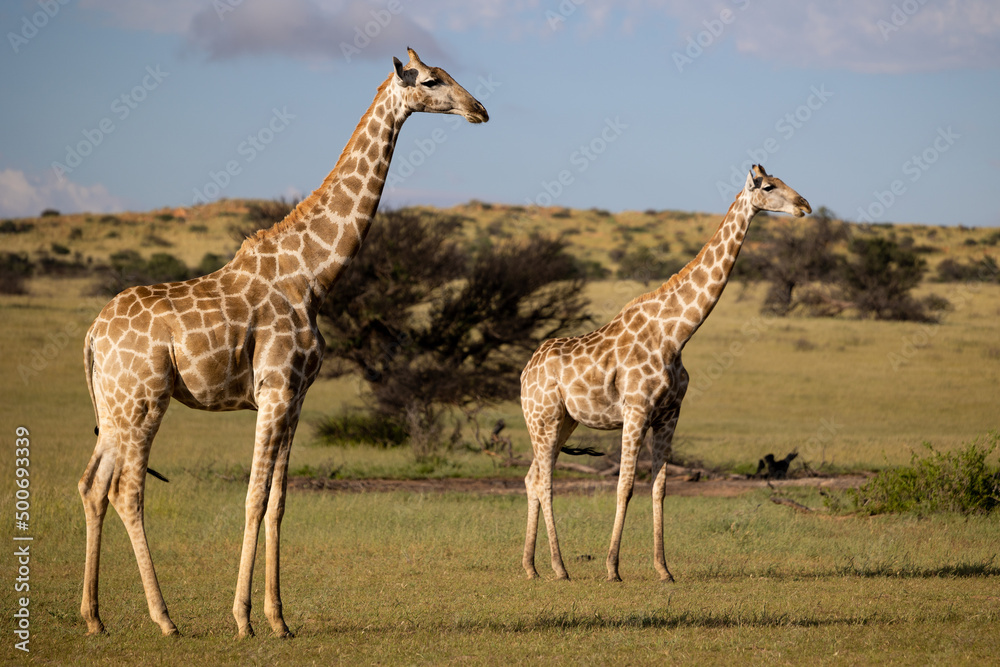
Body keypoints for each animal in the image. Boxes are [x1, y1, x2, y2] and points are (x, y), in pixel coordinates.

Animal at [78, 48, 488, 639]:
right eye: (432, 80)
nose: (479, 109)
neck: (313, 275)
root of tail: (92, 334)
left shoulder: (295, 397)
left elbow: (277, 502)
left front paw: (279, 619)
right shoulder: (273, 390)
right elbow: (251, 499)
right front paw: (243, 619)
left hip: (113, 405)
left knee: (92, 486)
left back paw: (93, 617)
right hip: (144, 400)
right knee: (125, 492)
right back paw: (165, 619)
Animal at [520, 165, 810, 582]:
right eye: (769, 187)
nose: (805, 205)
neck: (677, 334)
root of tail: (525, 372)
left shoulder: (670, 414)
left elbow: (660, 488)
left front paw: (663, 569)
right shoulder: (636, 411)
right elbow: (625, 486)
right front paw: (613, 568)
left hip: (564, 422)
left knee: (532, 479)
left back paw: (531, 567)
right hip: (543, 418)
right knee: (545, 482)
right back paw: (559, 568)